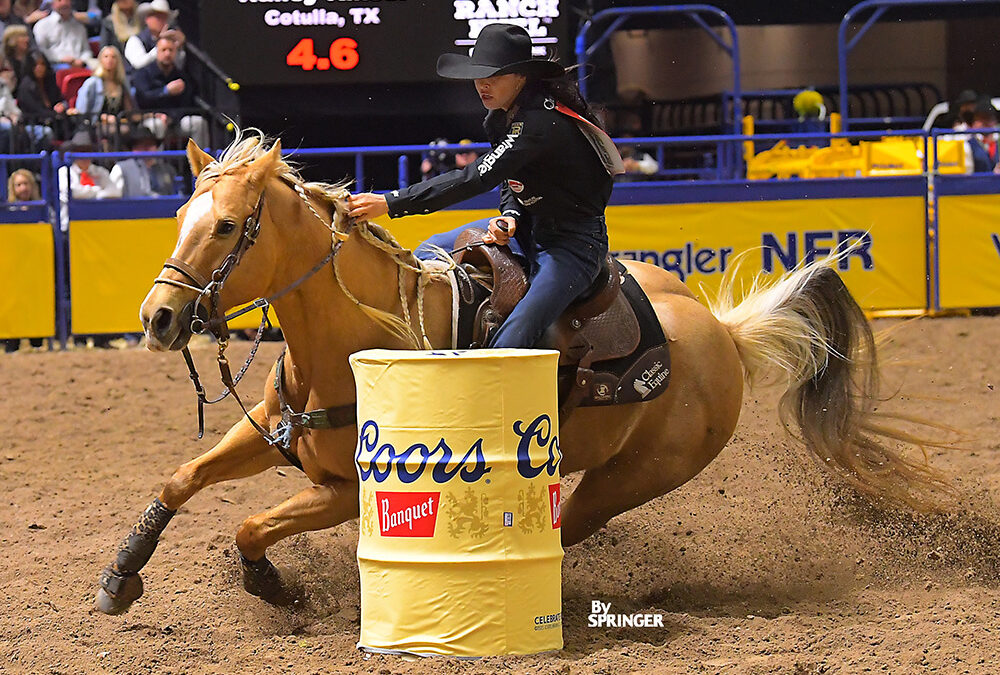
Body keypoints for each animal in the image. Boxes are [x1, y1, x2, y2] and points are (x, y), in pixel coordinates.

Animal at [95, 132, 944, 616]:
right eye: (179, 219)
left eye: (227, 226)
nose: (157, 317)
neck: (352, 339)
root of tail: (724, 335)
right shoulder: (274, 432)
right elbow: (179, 479)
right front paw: (120, 574)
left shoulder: (343, 489)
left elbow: (250, 523)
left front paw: (274, 586)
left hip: (633, 477)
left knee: (576, 521)